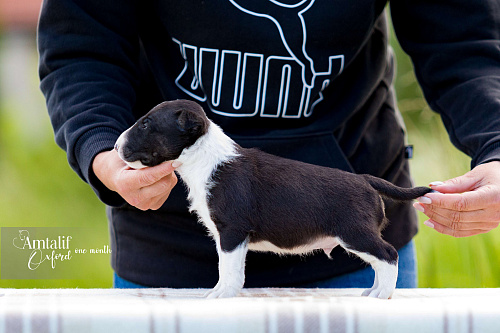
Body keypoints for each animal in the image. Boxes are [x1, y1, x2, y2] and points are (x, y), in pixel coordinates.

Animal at [115, 98, 432, 298]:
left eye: (146, 124)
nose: (116, 147)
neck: (206, 159)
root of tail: (365, 179)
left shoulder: (232, 232)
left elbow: (228, 268)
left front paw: (221, 294)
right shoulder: (230, 236)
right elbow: (229, 269)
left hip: (355, 233)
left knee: (388, 255)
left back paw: (382, 294)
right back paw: (373, 291)